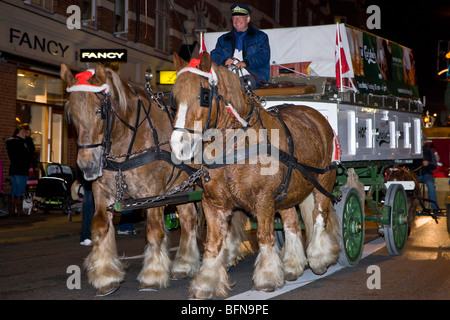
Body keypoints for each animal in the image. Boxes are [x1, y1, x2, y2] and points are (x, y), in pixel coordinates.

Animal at [60, 63, 200, 296]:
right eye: (70, 114)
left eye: (99, 111)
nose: (87, 166)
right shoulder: (102, 192)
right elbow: (100, 228)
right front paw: (105, 276)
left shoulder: (153, 194)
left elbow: (154, 231)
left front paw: (152, 275)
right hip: (183, 186)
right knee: (189, 220)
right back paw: (184, 265)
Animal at [171, 52, 340, 300]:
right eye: (174, 99)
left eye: (203, 96)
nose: (178, 146)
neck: (236, 145)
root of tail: (314, 114)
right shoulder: (213, 202)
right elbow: (213, 243)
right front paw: (205, 283)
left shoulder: (264, 199)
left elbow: (264, 237)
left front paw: (267, 278)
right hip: (288, 191)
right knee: (291, 223)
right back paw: (292, 265)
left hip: (324, 180)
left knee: (319, 215)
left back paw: (318, 259)